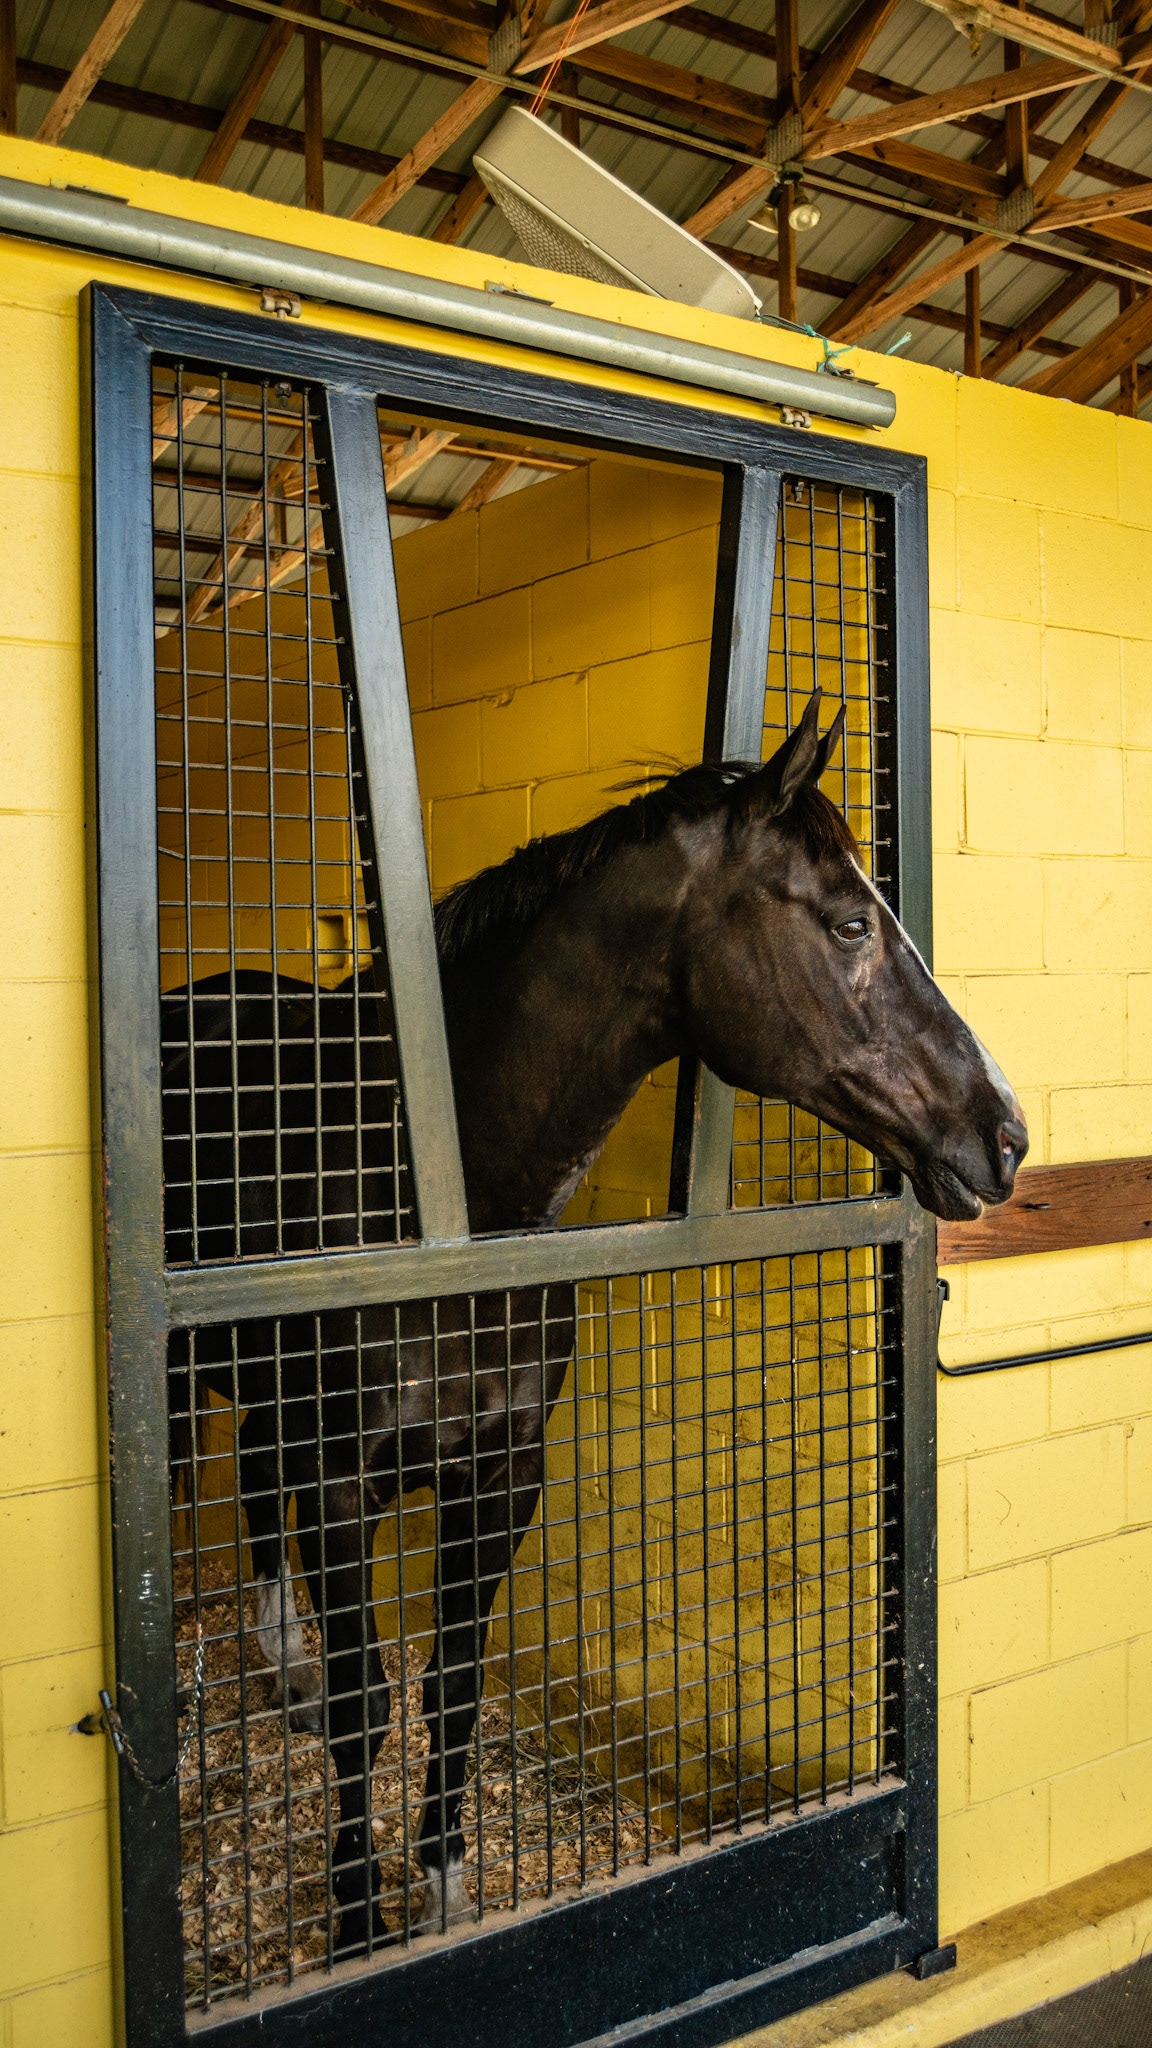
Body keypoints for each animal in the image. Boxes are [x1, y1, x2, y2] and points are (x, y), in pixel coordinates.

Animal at [162, 693, 1026, 1955]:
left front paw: (444, 1890)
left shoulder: (502, 1471)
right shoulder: (341, 1475)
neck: (450, 1197)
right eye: (850, 922)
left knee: (254, 1482)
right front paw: (361, 1921)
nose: (1004, 1130)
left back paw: (283, 1665)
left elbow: (451, 1685)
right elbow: (371, 1700)